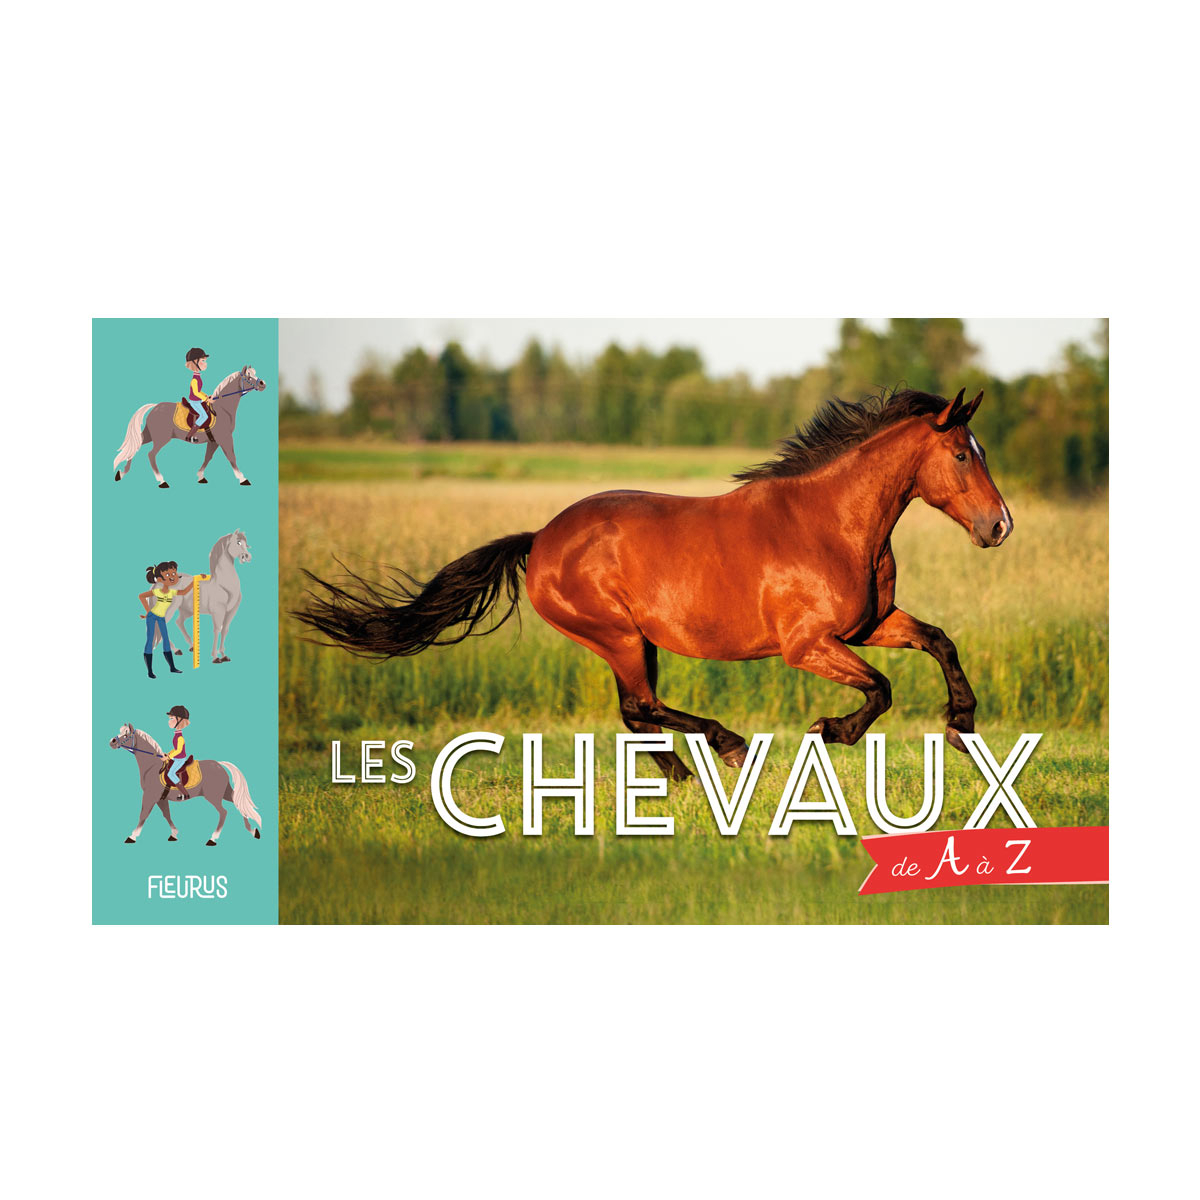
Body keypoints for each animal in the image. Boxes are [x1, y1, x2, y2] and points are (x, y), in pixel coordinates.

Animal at [108, 723, 262, 844]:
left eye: (126, 734)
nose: (112, 741)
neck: (152, 766)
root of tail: (219, 765)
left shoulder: (150, 796)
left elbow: (143, 814)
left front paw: (132, 836)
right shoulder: (161, 798)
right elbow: (166, 814)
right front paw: (174, 834)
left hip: (213, 796)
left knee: (223, 812)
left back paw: (213, 838)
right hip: (225, 792)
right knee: (238, 803)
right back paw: (253, 831)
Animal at [111, 365, 267, 488]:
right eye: (248, 376)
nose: (262, 383)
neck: (223, 408)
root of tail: (155, 407)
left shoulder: (214, 441)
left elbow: (208, 457)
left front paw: (200, 476)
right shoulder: (225, 438)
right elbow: (231, 457)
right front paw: (243, 479)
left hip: (150, 435)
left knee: (136, 446)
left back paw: (121, 473)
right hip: (162, 438)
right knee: (151, 454)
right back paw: (162, 481)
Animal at [149, 530, 253, 663]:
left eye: (245, 543)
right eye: (238, 542)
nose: (247, 556)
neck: (224, 585)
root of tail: (157, 584)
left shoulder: (231, 611)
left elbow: (225, 630)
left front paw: (224, 655)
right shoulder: (218, 611)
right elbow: (217, 630)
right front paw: (215, 657)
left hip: (186, 610)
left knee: (179, 622)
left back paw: (191, 646)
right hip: (170, 609)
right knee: (162, 625)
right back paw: (176, 650)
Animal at [294, 388, 1012, 783]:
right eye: (960, 454)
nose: (1000, 526)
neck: (830, 522)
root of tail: (540, 539)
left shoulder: (868, 626)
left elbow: (939, 641)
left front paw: (962, 725)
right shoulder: (807, 645)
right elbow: (881, 688)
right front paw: (831, 730)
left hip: (635, 641)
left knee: (635, 712)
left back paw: (682, 776)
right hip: (616, 635)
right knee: (641, 707)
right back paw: (726, 750)